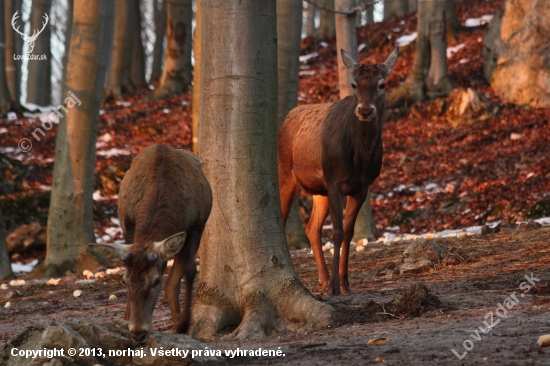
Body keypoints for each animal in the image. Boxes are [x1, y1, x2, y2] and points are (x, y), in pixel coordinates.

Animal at [89, 144, 212, 344]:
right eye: (124, 281)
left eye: (155, 282)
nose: (138, 333)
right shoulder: (128, 229)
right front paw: (125, 321)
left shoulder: (195, 229)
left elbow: (180, 277)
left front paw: (183, 324)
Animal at [278, 48, 398, 294]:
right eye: (353, 84)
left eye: (382, 84)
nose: (365, 110)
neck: (358, 161)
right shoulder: (334, 182)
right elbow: (337, 232)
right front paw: (335, 285)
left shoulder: (362, 186)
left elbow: (349, 232)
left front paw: (344, 283)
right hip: (285, 171)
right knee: (283, 221)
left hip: (320, 190)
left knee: (312, 228)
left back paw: (323, 281)